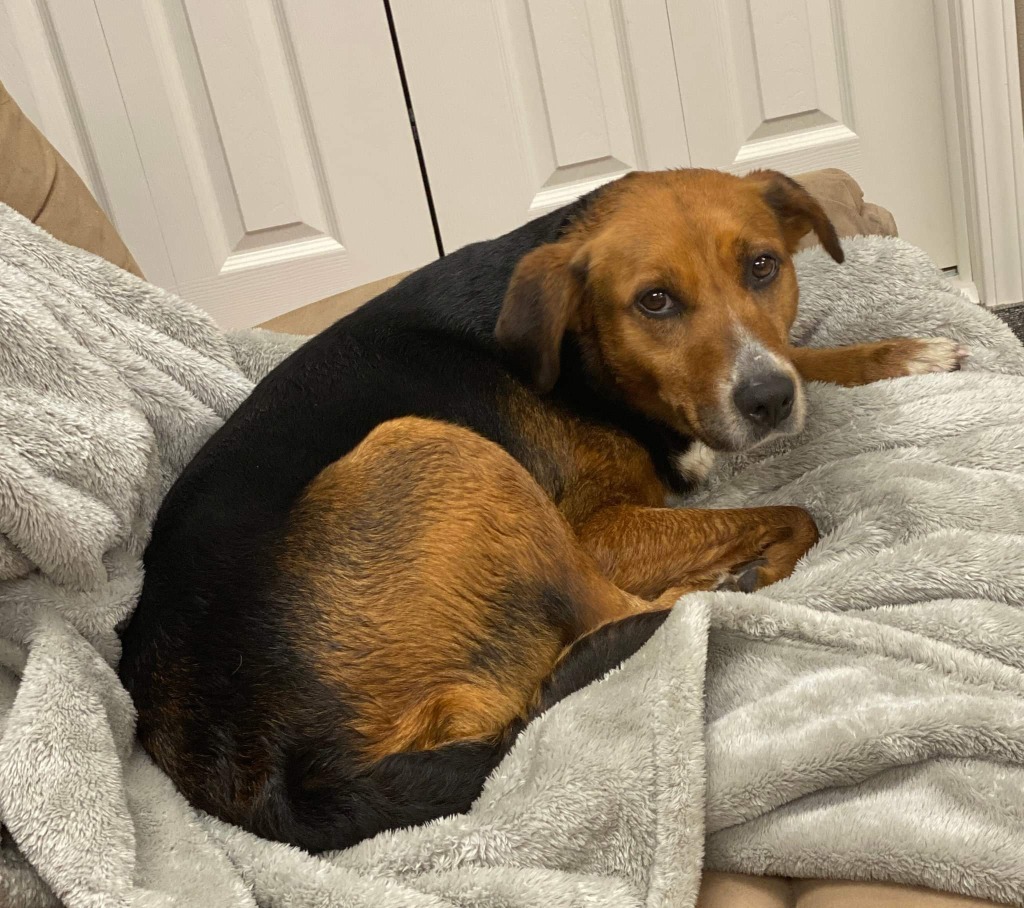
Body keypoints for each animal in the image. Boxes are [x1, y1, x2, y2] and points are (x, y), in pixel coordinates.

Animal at [119, 168, 966, 851]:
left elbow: (807, 357)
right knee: (625, 614)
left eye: (763, 266)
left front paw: (905, 353)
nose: (765, 401)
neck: (591, 357)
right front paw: (765, 551)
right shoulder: (597, 532)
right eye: (654, 301)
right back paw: (723, 588)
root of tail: (281, 779)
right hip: (435, 448)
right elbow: (797, 513)